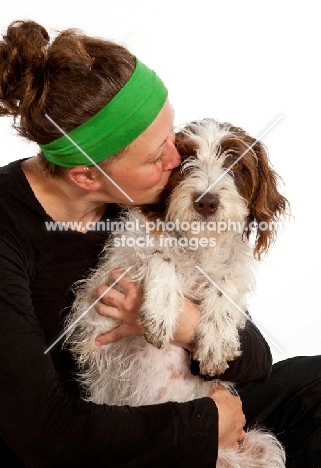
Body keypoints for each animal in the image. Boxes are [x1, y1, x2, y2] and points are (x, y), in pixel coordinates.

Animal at [65, 119, 288, 466]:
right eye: (186, 161)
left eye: (234, 164)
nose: (206, 201)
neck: (197, 249)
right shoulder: (95, 319)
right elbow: (160, 255)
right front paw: (161, 310)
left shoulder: (231, 275)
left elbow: (226, 282)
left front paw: (215, 340)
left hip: (261, 445)